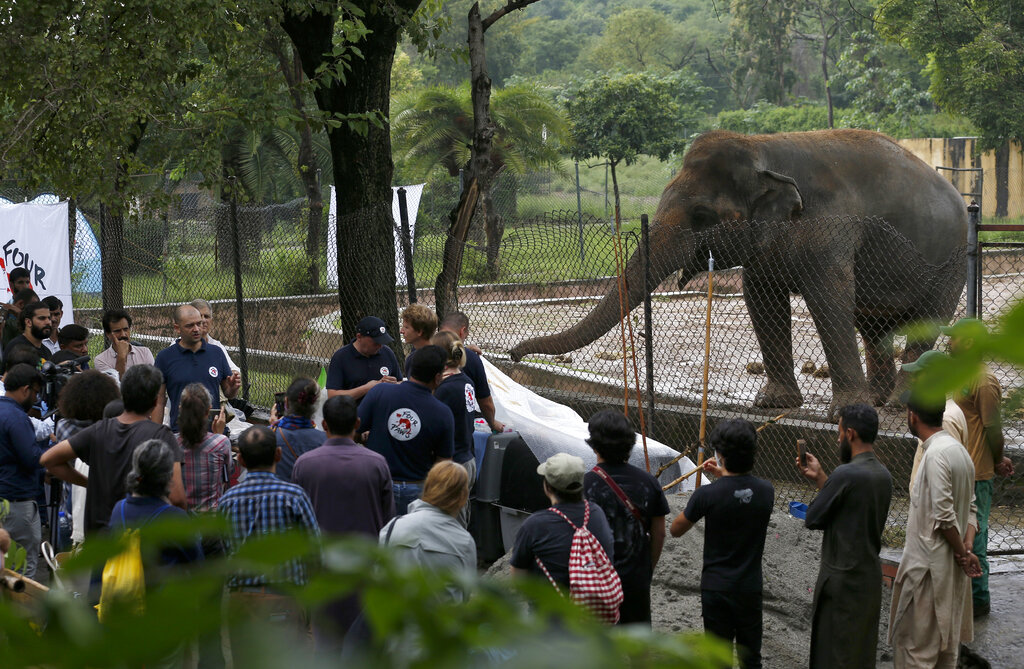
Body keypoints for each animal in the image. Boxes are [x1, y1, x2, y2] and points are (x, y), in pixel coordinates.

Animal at [512, 129, 966, 411]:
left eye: (700, 216)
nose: (514, 355)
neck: (764, 149)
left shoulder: (831, 229)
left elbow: (828, 297)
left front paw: (843, 413)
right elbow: (760, 297)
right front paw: (773, 404)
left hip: (953, 261)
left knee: (927, 320)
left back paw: (898, 404)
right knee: (874, 327)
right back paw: (879, 400)